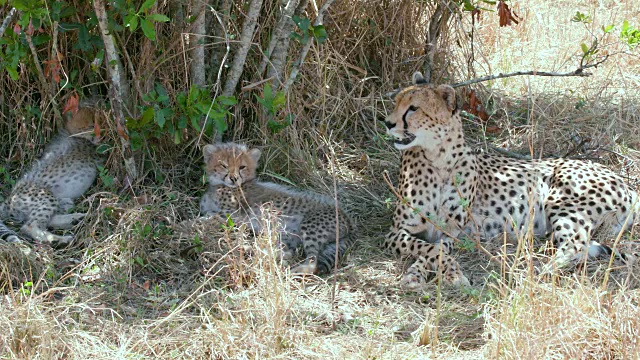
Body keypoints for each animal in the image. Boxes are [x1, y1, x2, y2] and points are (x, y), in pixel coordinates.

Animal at [382, 71, 636, 288]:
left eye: (413, 108)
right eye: (396, 103)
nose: (388, 123)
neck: (438, 159)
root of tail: (627, 184)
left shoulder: (448, 232)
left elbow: (434, 250)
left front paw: (450, 275)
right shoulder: (398, 231)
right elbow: (427, 250)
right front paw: (419, 276)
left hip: (564, 201)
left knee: (576, 246)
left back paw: (540, 273)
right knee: (582, 245)